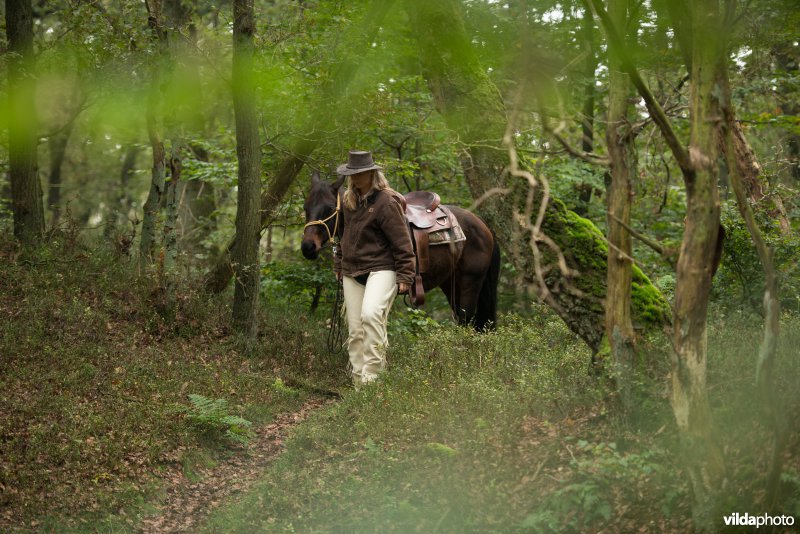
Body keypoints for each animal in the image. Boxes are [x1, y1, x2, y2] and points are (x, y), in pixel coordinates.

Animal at [301, 172, 500, 331]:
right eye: (305, 207)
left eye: (329, 208)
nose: (307, 247)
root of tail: (484, 226)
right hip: (450, 283)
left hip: (470, 283)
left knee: (467, 321)